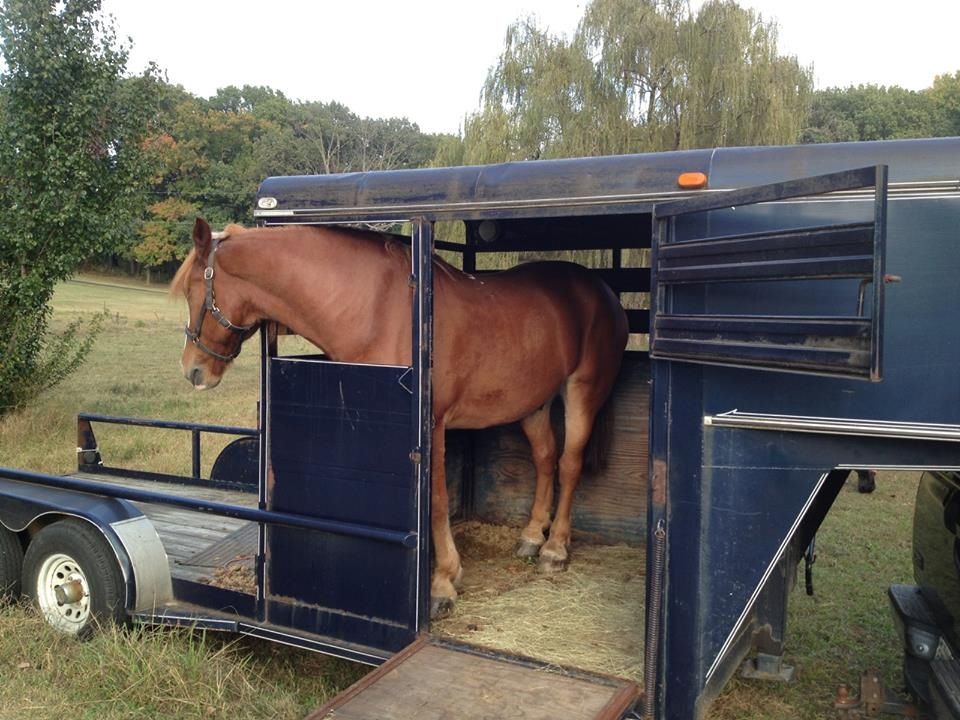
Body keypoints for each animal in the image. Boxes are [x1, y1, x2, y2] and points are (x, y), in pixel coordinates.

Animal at [172, 218, 632, 620]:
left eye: (195, 291)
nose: (193, 370)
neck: (376, 308)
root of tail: (602, 292)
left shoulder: (432, 424)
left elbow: (437, 501)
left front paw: (443, 583)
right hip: (535, 403)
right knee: (545, 459)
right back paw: (532, 537)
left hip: (581, 391)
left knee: (569, 464)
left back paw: (555, 549)